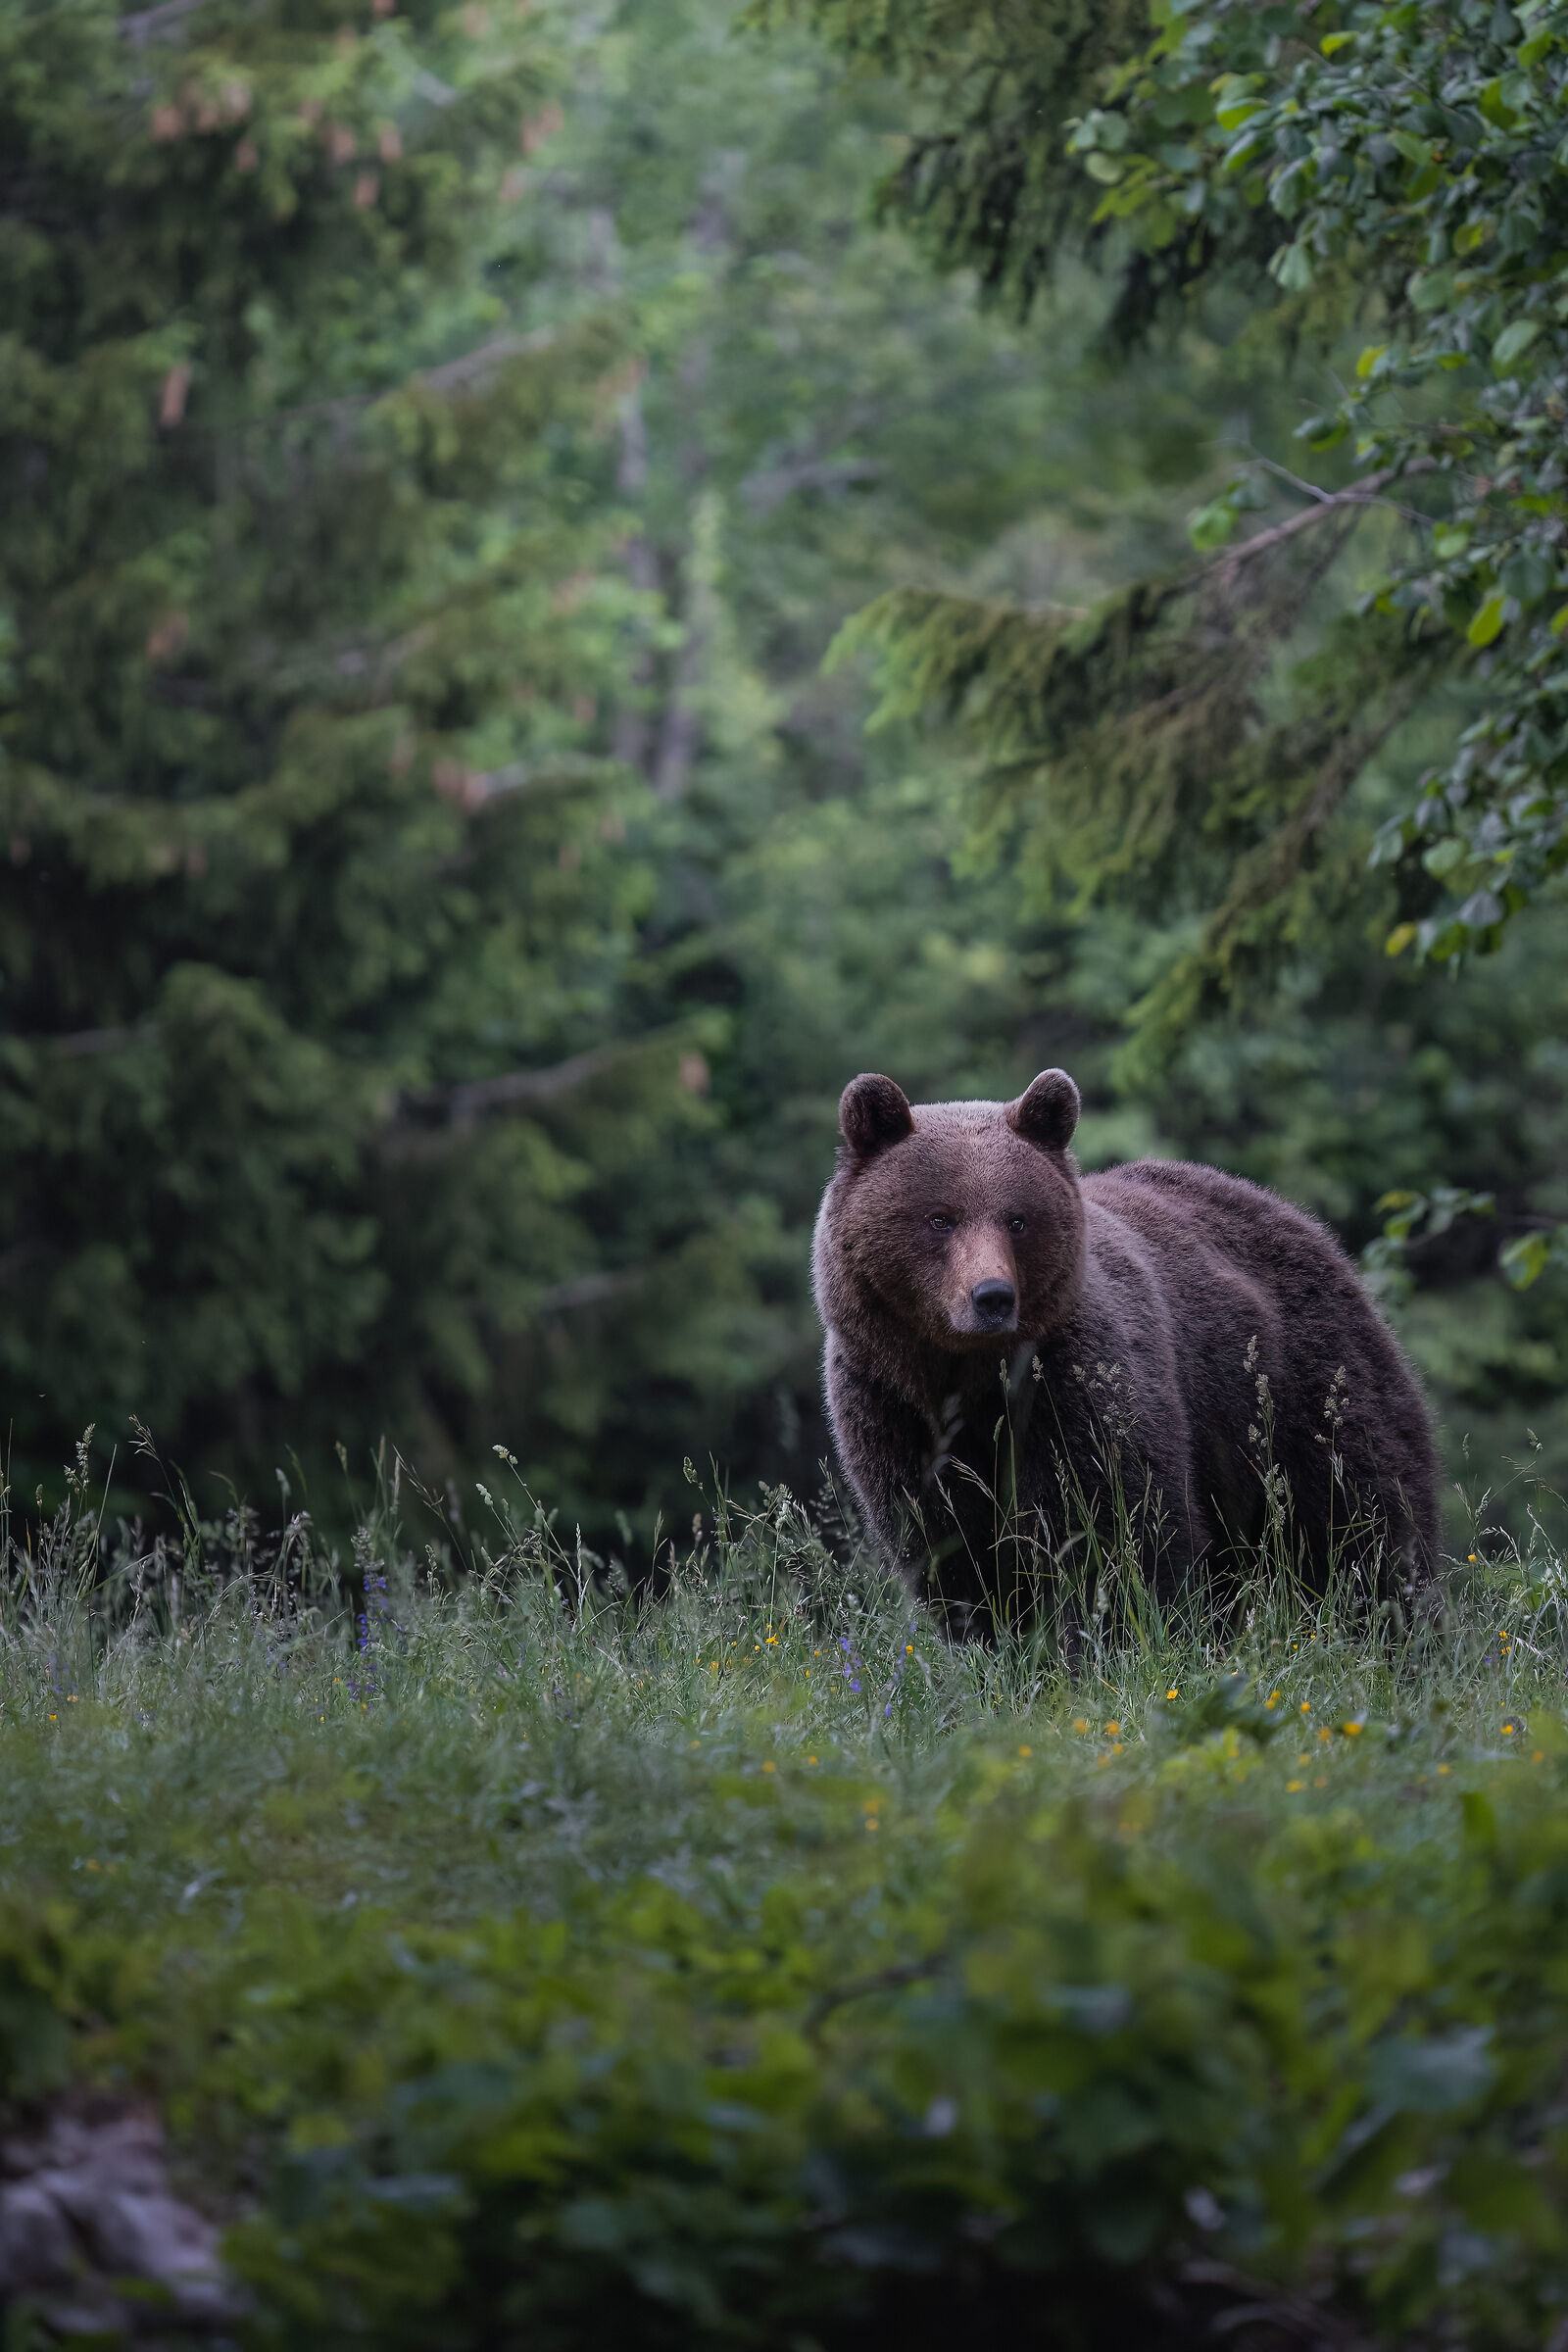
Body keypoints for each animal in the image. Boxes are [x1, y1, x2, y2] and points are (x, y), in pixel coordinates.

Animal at [812, 1067, 1440, 1629]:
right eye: (940, 1218)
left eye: (1017, 1219)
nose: (992, 1297)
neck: (969, 1377)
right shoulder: (893, 1410)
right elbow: (953, 1554)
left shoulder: (1079, 1386)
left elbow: (1120, 1530)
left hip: (1303, 1385)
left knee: (1365, 1520)